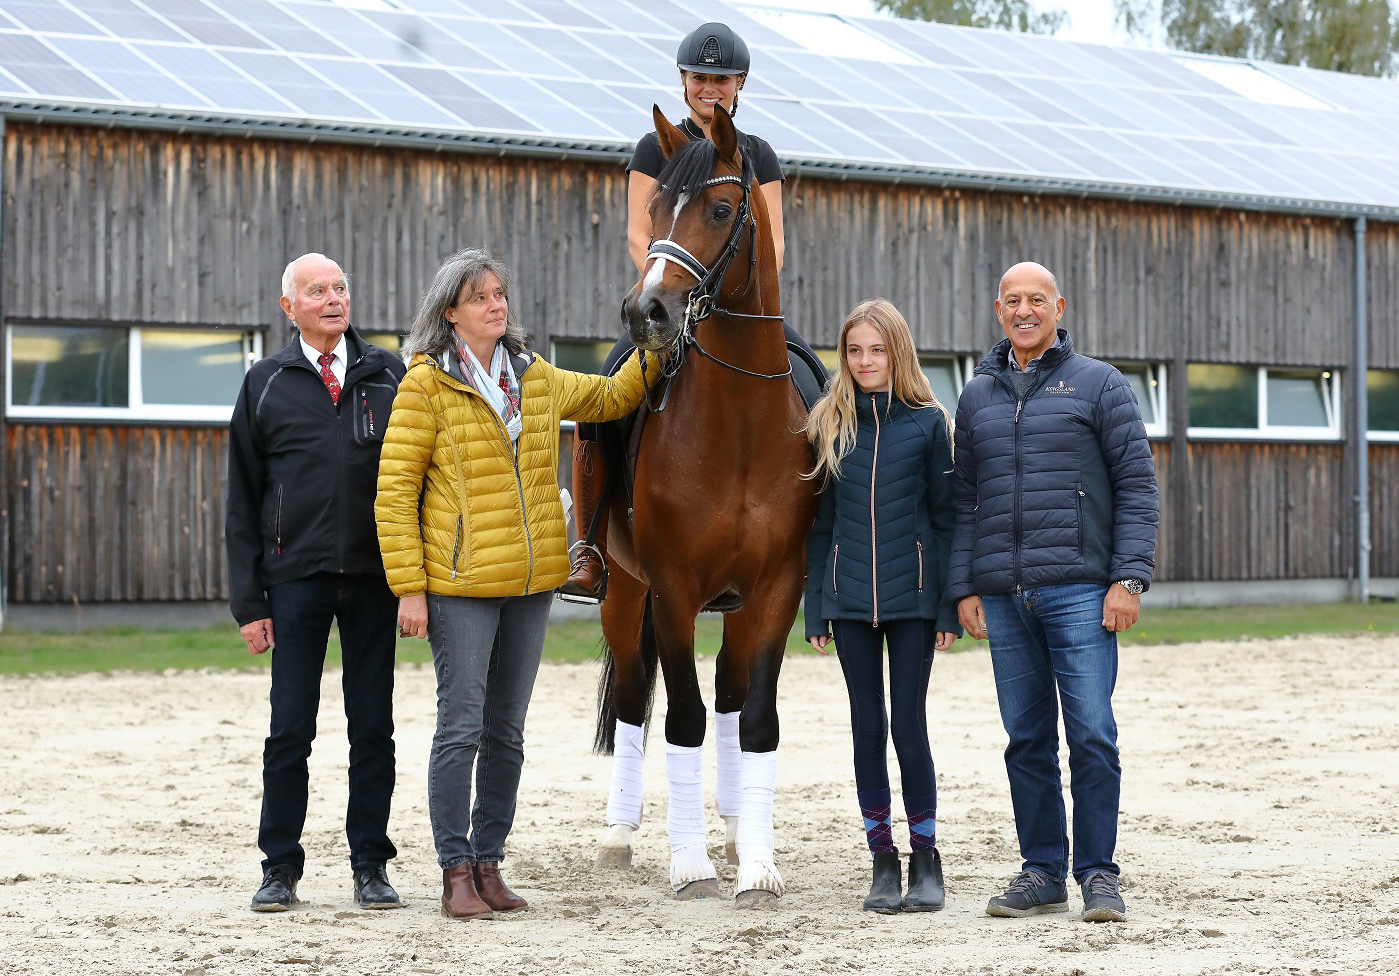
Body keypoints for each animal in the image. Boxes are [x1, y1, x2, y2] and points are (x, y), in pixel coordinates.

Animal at [593, 106, 817, 906]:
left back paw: (734, 828)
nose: (646, 311)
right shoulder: (673, 590)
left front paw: (756, 865)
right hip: (624, 593)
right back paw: (620, 835)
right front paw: (688, 863)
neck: (740, 425)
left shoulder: (777, 588)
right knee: (635, 699)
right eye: (657, 206)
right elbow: (681, 718)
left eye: (721, 211)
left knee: (728, 695)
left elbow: (755, 720)